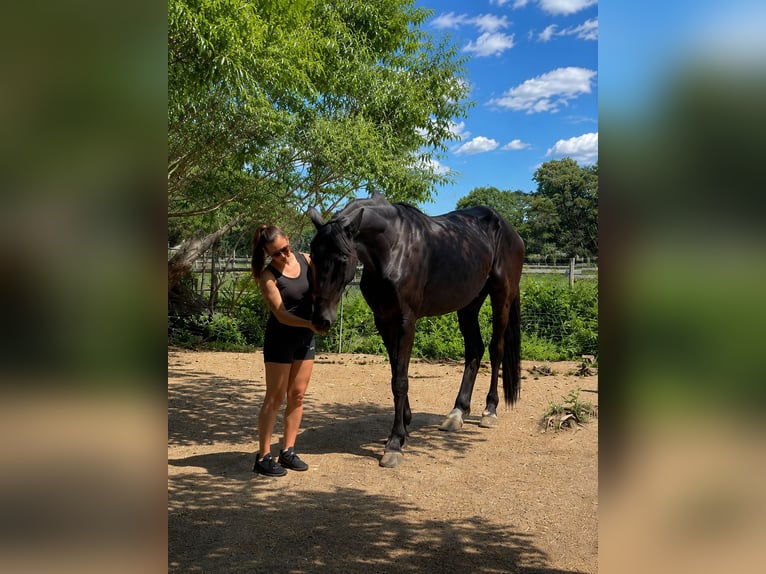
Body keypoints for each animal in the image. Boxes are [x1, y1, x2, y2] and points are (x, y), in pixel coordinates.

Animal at [309, 192, 525, 468]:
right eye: (313, 256)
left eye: (343, 258)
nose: (321, 319)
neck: (394, 248)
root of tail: (511, 231)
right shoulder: (384, 321)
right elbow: (396, 373)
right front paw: (405, 427)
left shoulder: (406, 320)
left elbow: (400, 380)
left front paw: (394, 444)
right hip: (469, 303)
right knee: (474, 350)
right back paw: (457, 413)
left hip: (501, 297)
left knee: (496, 349)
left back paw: (489, 410)